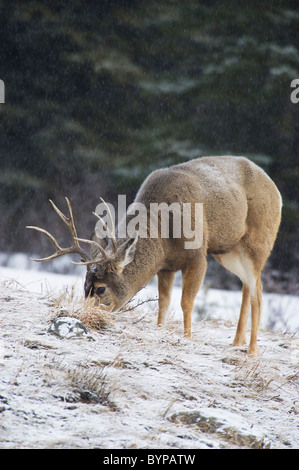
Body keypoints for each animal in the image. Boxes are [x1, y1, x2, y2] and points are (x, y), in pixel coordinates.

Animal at [27, 156, 282, 354]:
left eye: (100, 289)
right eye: (84, 286)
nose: (83, 315)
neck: (164, 233)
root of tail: (275, 188)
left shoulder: (198, 255)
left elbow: (186, 302)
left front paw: (187, 338)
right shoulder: (166, 265)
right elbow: (163, 302)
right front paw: (160, 330)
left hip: (259, 241)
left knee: (258, 290)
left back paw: (252, 350)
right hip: (228, 251)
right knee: (248, 286)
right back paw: (237, 342)